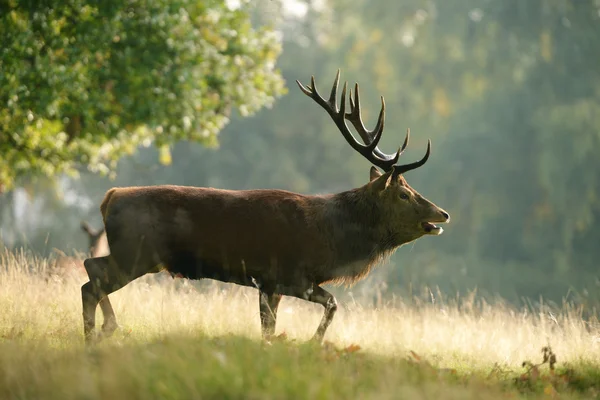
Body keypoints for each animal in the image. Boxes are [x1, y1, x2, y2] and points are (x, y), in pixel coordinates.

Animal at [79, 70, 448, 346]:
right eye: (404, 194)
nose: (442, 214)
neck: (332, 239)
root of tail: (110, 197)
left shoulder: (270, 284)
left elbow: (270, 328)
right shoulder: (287, 274)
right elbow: (330, 304)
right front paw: (313, 342)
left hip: (135, 254)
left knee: (90, 273)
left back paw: (98, 331)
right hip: (136, 252)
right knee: (91, 275)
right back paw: (104, 329)